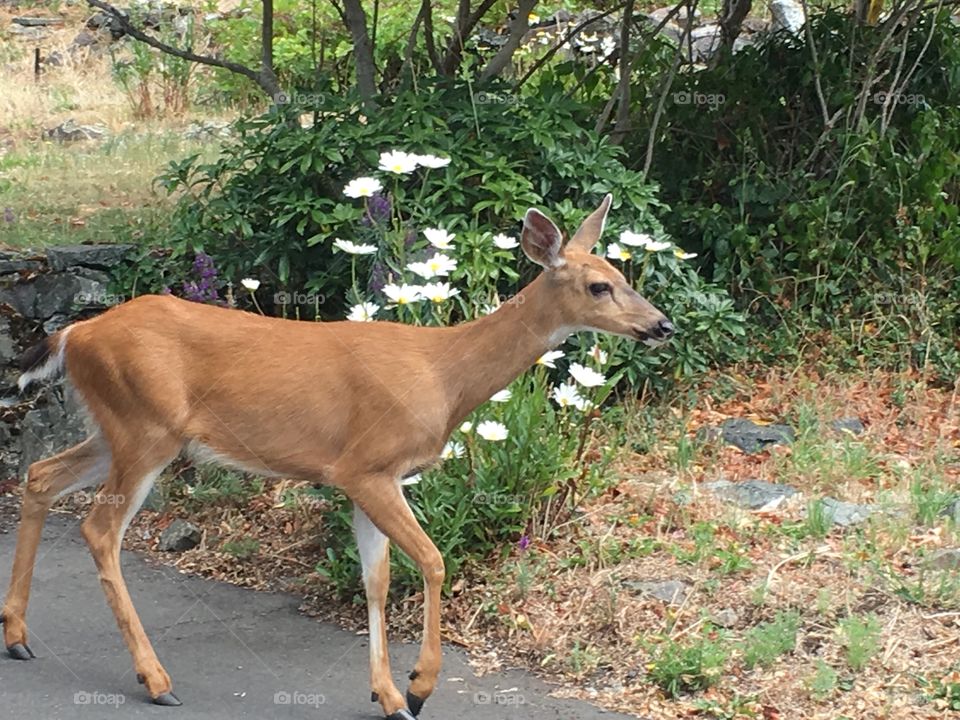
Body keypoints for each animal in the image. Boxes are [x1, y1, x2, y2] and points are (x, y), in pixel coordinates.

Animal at [1, 194, 676, 716]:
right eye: (598, 286)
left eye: (625, 276)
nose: (661, 325)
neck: (444, 374)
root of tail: (76, 331)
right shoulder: (366, 465)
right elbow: (432, 562)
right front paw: (420, 687)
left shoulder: (374, 478)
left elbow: (376, 578)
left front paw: (388, 695)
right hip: (145, 429)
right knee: (98, 528)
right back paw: (155, 679)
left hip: (117, 428)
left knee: (39, 475)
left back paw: (17, 636)